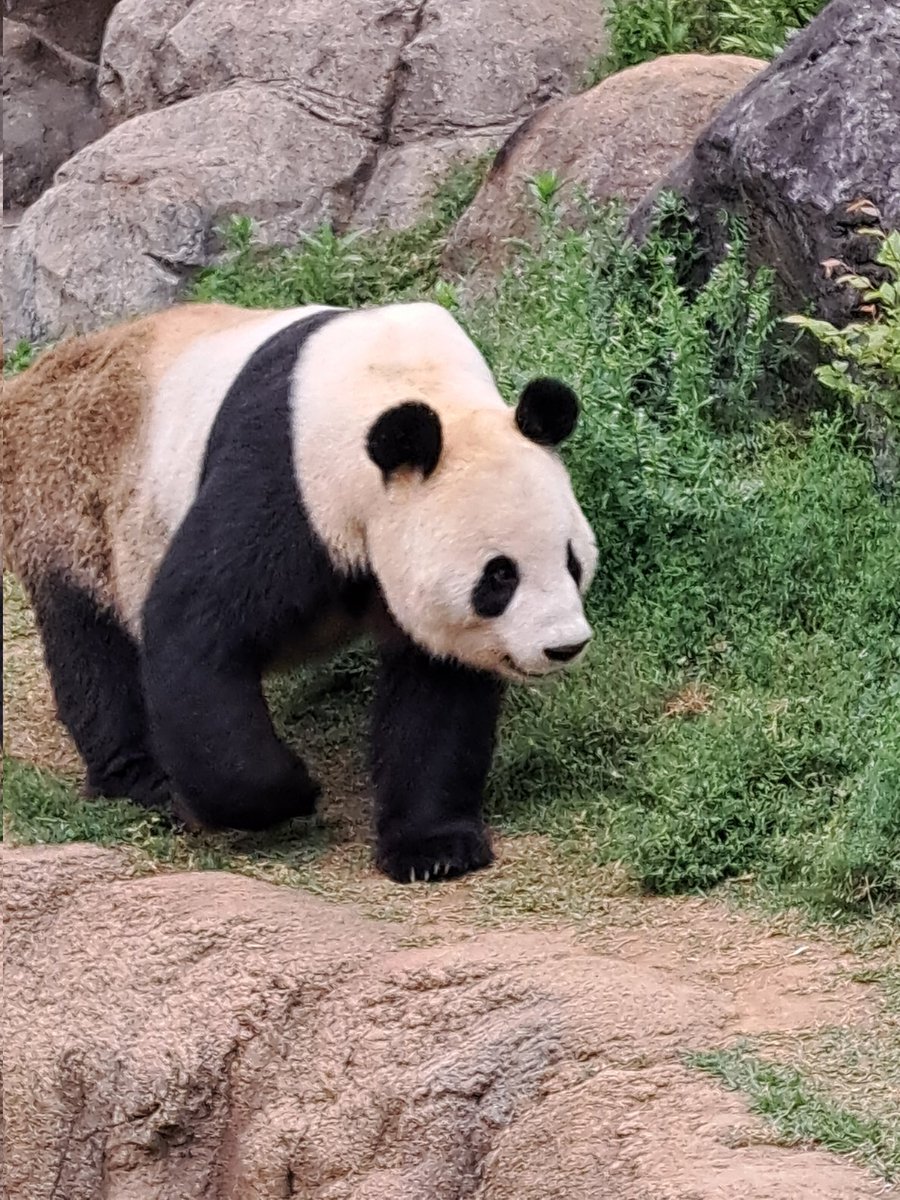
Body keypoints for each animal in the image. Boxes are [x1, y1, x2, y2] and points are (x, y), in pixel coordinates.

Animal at [1, 300, 597, 882]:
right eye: (500, 576)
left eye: (572, 562)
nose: (563, 646)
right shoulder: (288, 480)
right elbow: (194, 630)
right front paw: (292, 790)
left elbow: (436, 691)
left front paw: (434, 848)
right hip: (78, 507)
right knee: (94, 651)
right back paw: (147, 781)